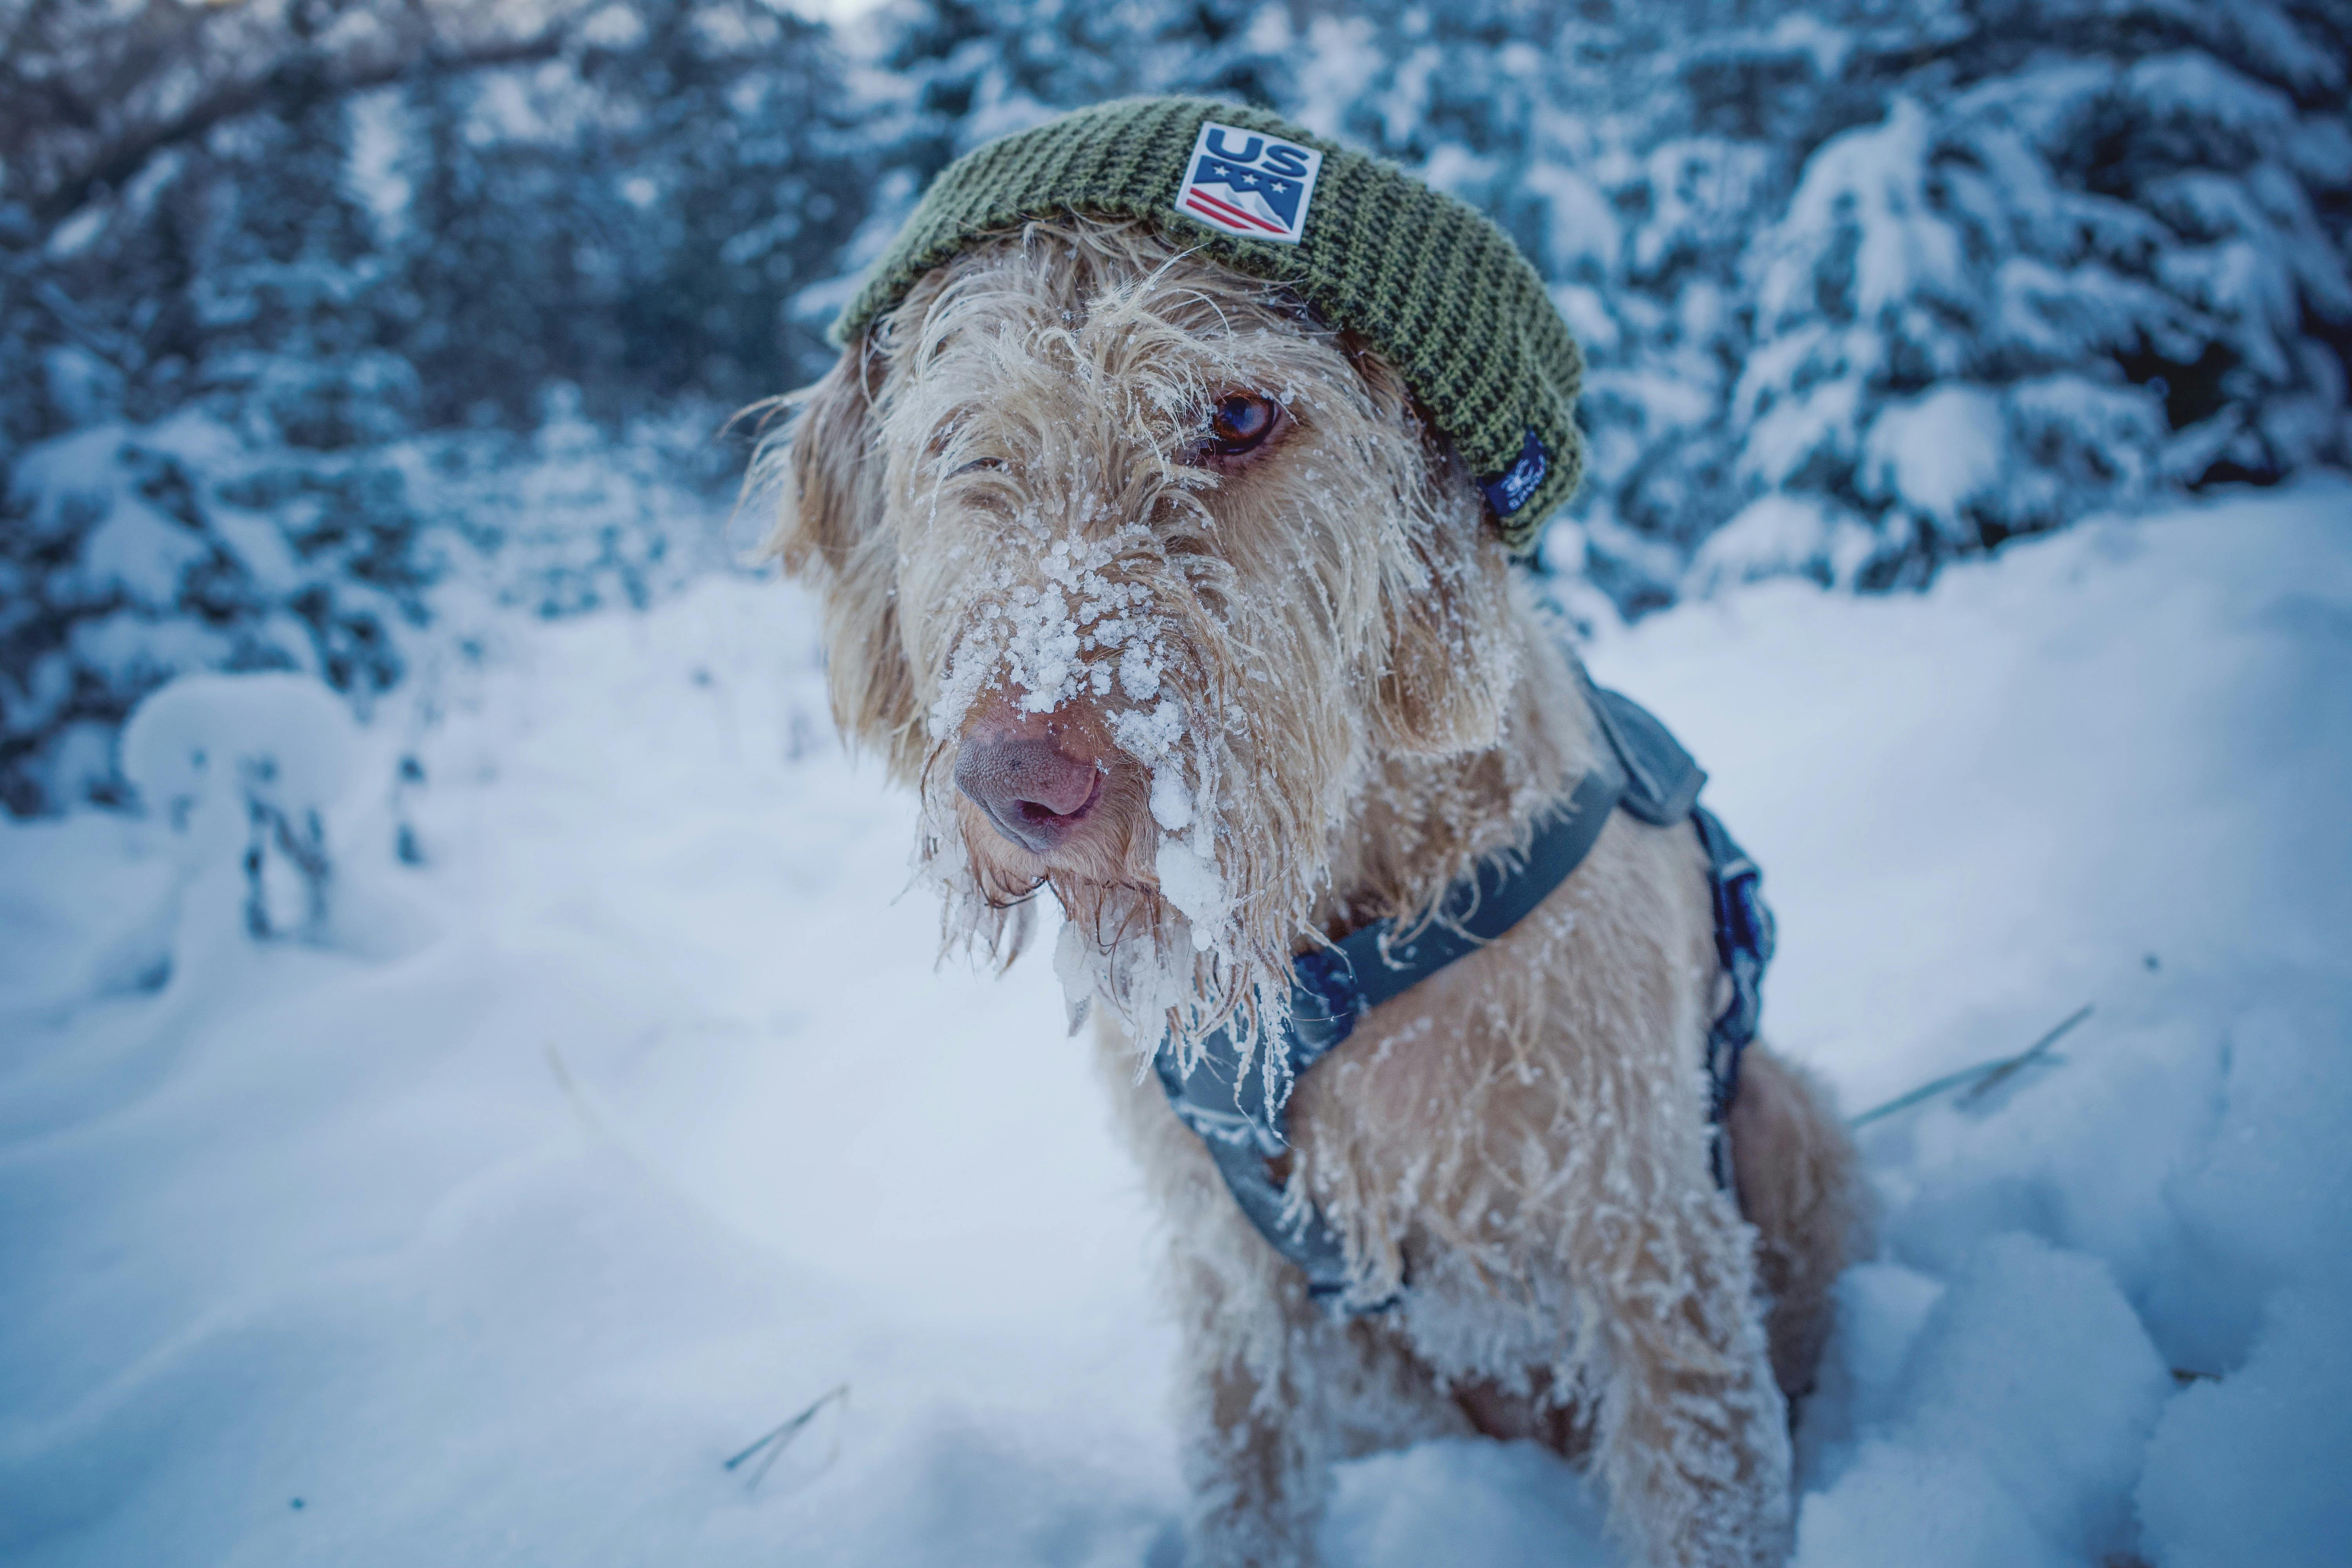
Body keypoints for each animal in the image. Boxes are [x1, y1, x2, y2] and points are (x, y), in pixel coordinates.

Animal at [762, 211, 1882, 1568]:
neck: (1326, 947)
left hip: (1790, 1120)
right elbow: (1245, 1486)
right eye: (966, 443)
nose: (1017, 783)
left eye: (1239, 416)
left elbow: (1705, 1492)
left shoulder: (1652, 1243)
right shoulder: (1229, 1282)